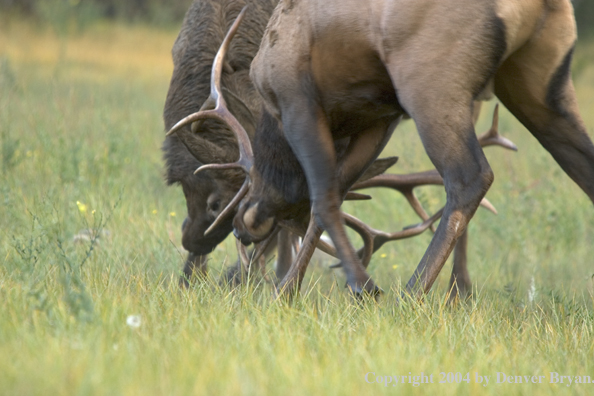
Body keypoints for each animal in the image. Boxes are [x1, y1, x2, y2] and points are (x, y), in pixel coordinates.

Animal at [224, 0, 592, 296]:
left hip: (431, 84)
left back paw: (412, 293)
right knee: (582, 165)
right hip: (539, 83)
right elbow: (335, 193)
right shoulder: (379, 118)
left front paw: (361, 285)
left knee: (470, 176)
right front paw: (287, 290)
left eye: (250, 177)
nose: (241, 224)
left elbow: (323, 198)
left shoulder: (298, 102)